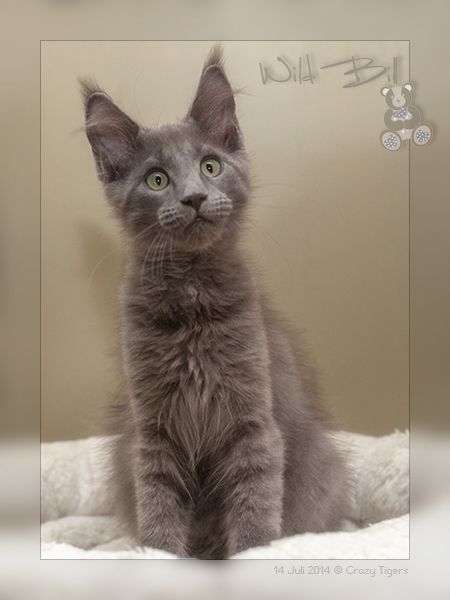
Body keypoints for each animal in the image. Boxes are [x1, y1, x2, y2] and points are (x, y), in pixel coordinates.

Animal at [81, 45, 350, 559]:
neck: (192, 299)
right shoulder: (154, 433)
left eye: (210, 166)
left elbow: (254, 501)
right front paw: (159, 555)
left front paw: (254, 553)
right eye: (157, 179)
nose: (194, 198)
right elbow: (159, 504)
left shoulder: (252, 422)